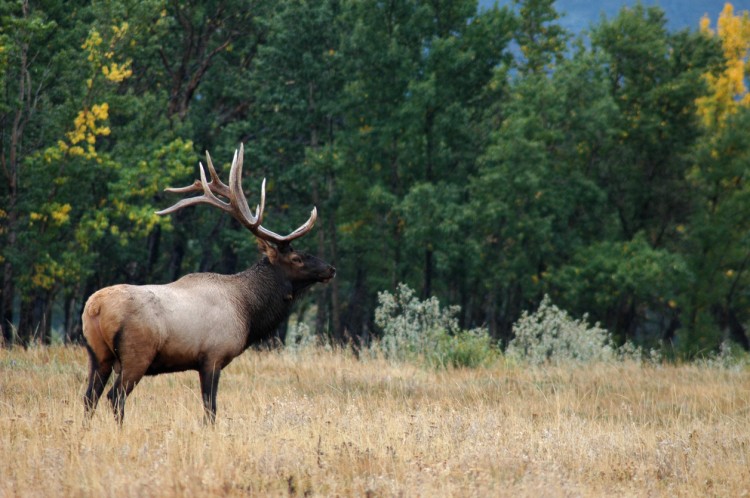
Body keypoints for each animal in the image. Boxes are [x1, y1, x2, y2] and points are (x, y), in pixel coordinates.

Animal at [81, 144, 334, 424]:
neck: (247, 312)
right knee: (115, 396)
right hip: (136, 354)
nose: (330, 269)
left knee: (89, 397)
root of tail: (95, 308)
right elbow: (210, 408)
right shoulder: (213, 356)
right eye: (297, 258)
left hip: (97, 354)